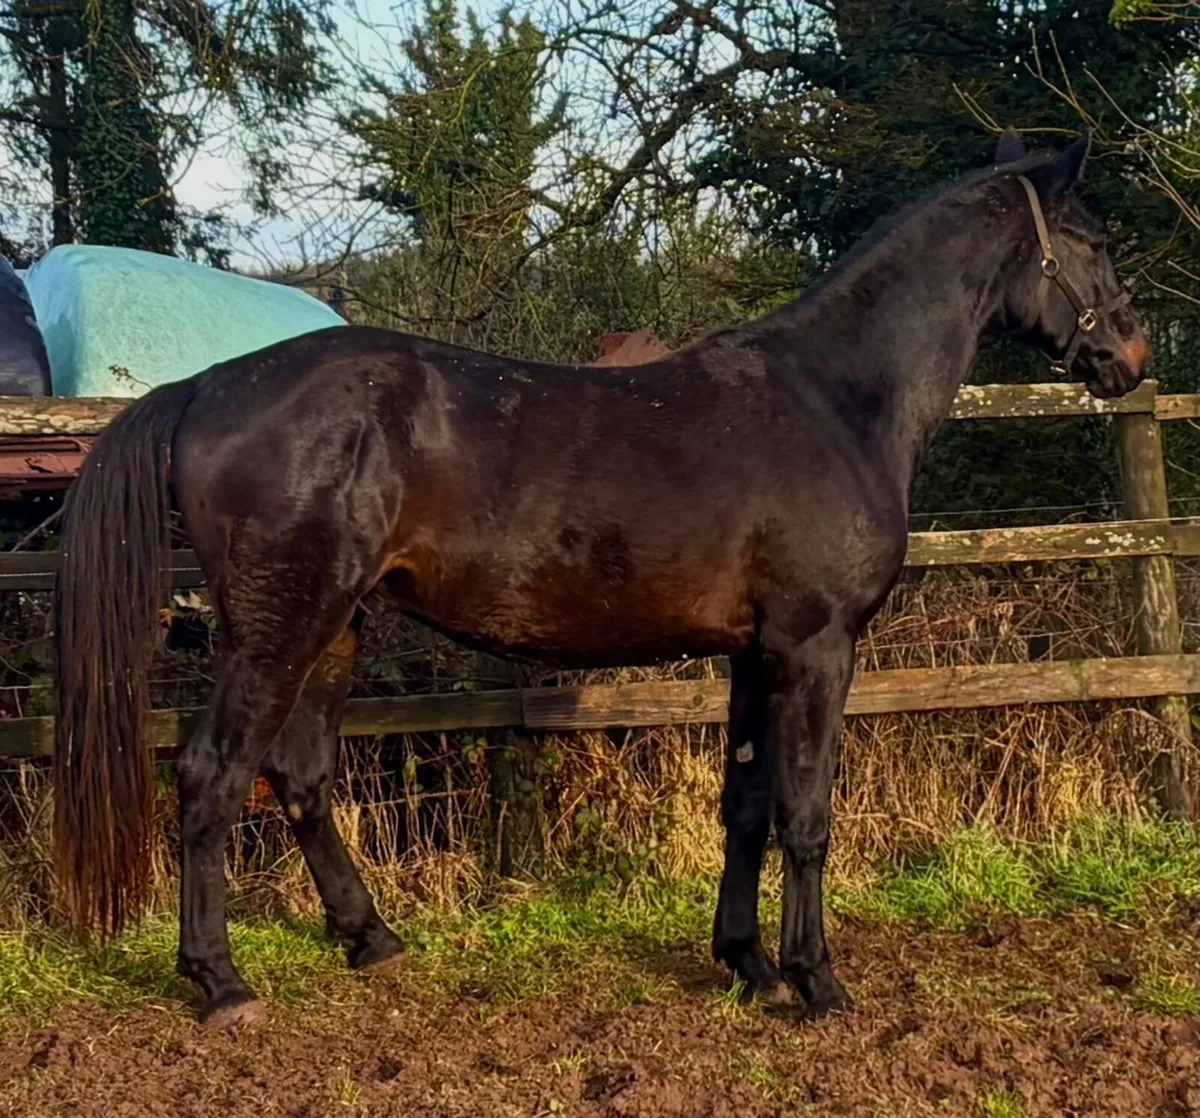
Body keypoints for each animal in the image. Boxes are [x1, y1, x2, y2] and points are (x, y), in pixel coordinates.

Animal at [52, 128, 1150, 1028]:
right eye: (1094, 236)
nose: (1131, 354)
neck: (836, 400)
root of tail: (203, 386)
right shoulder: (818, 646)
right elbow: (806, 814)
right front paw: (819, 982)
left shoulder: (755, 652)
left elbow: (746, 803)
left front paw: (748, 963)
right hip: (279, 627)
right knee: (212, 773)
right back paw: (222, 981)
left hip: (336, 626)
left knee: (302, 774)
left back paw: (373, 938)